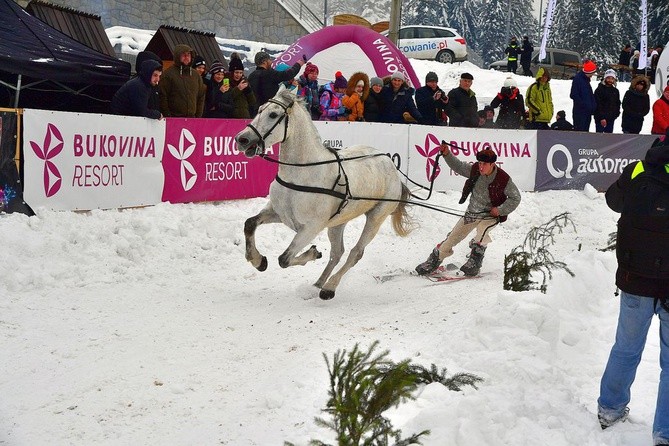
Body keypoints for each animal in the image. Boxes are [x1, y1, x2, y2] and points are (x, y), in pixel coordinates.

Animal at [235, 87, 412, 300]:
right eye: (259, 109)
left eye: (273, 115)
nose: (242, 139)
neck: (302, 173)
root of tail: (391, 166)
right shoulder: (278, 213)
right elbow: (250, 224)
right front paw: (258, 260)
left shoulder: (311, 227)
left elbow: (284, 259)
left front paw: (312, 253)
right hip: (337, 222)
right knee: (337, 252)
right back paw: (317, 284)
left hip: (376, 217)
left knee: (355, 252)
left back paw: (329, 287)